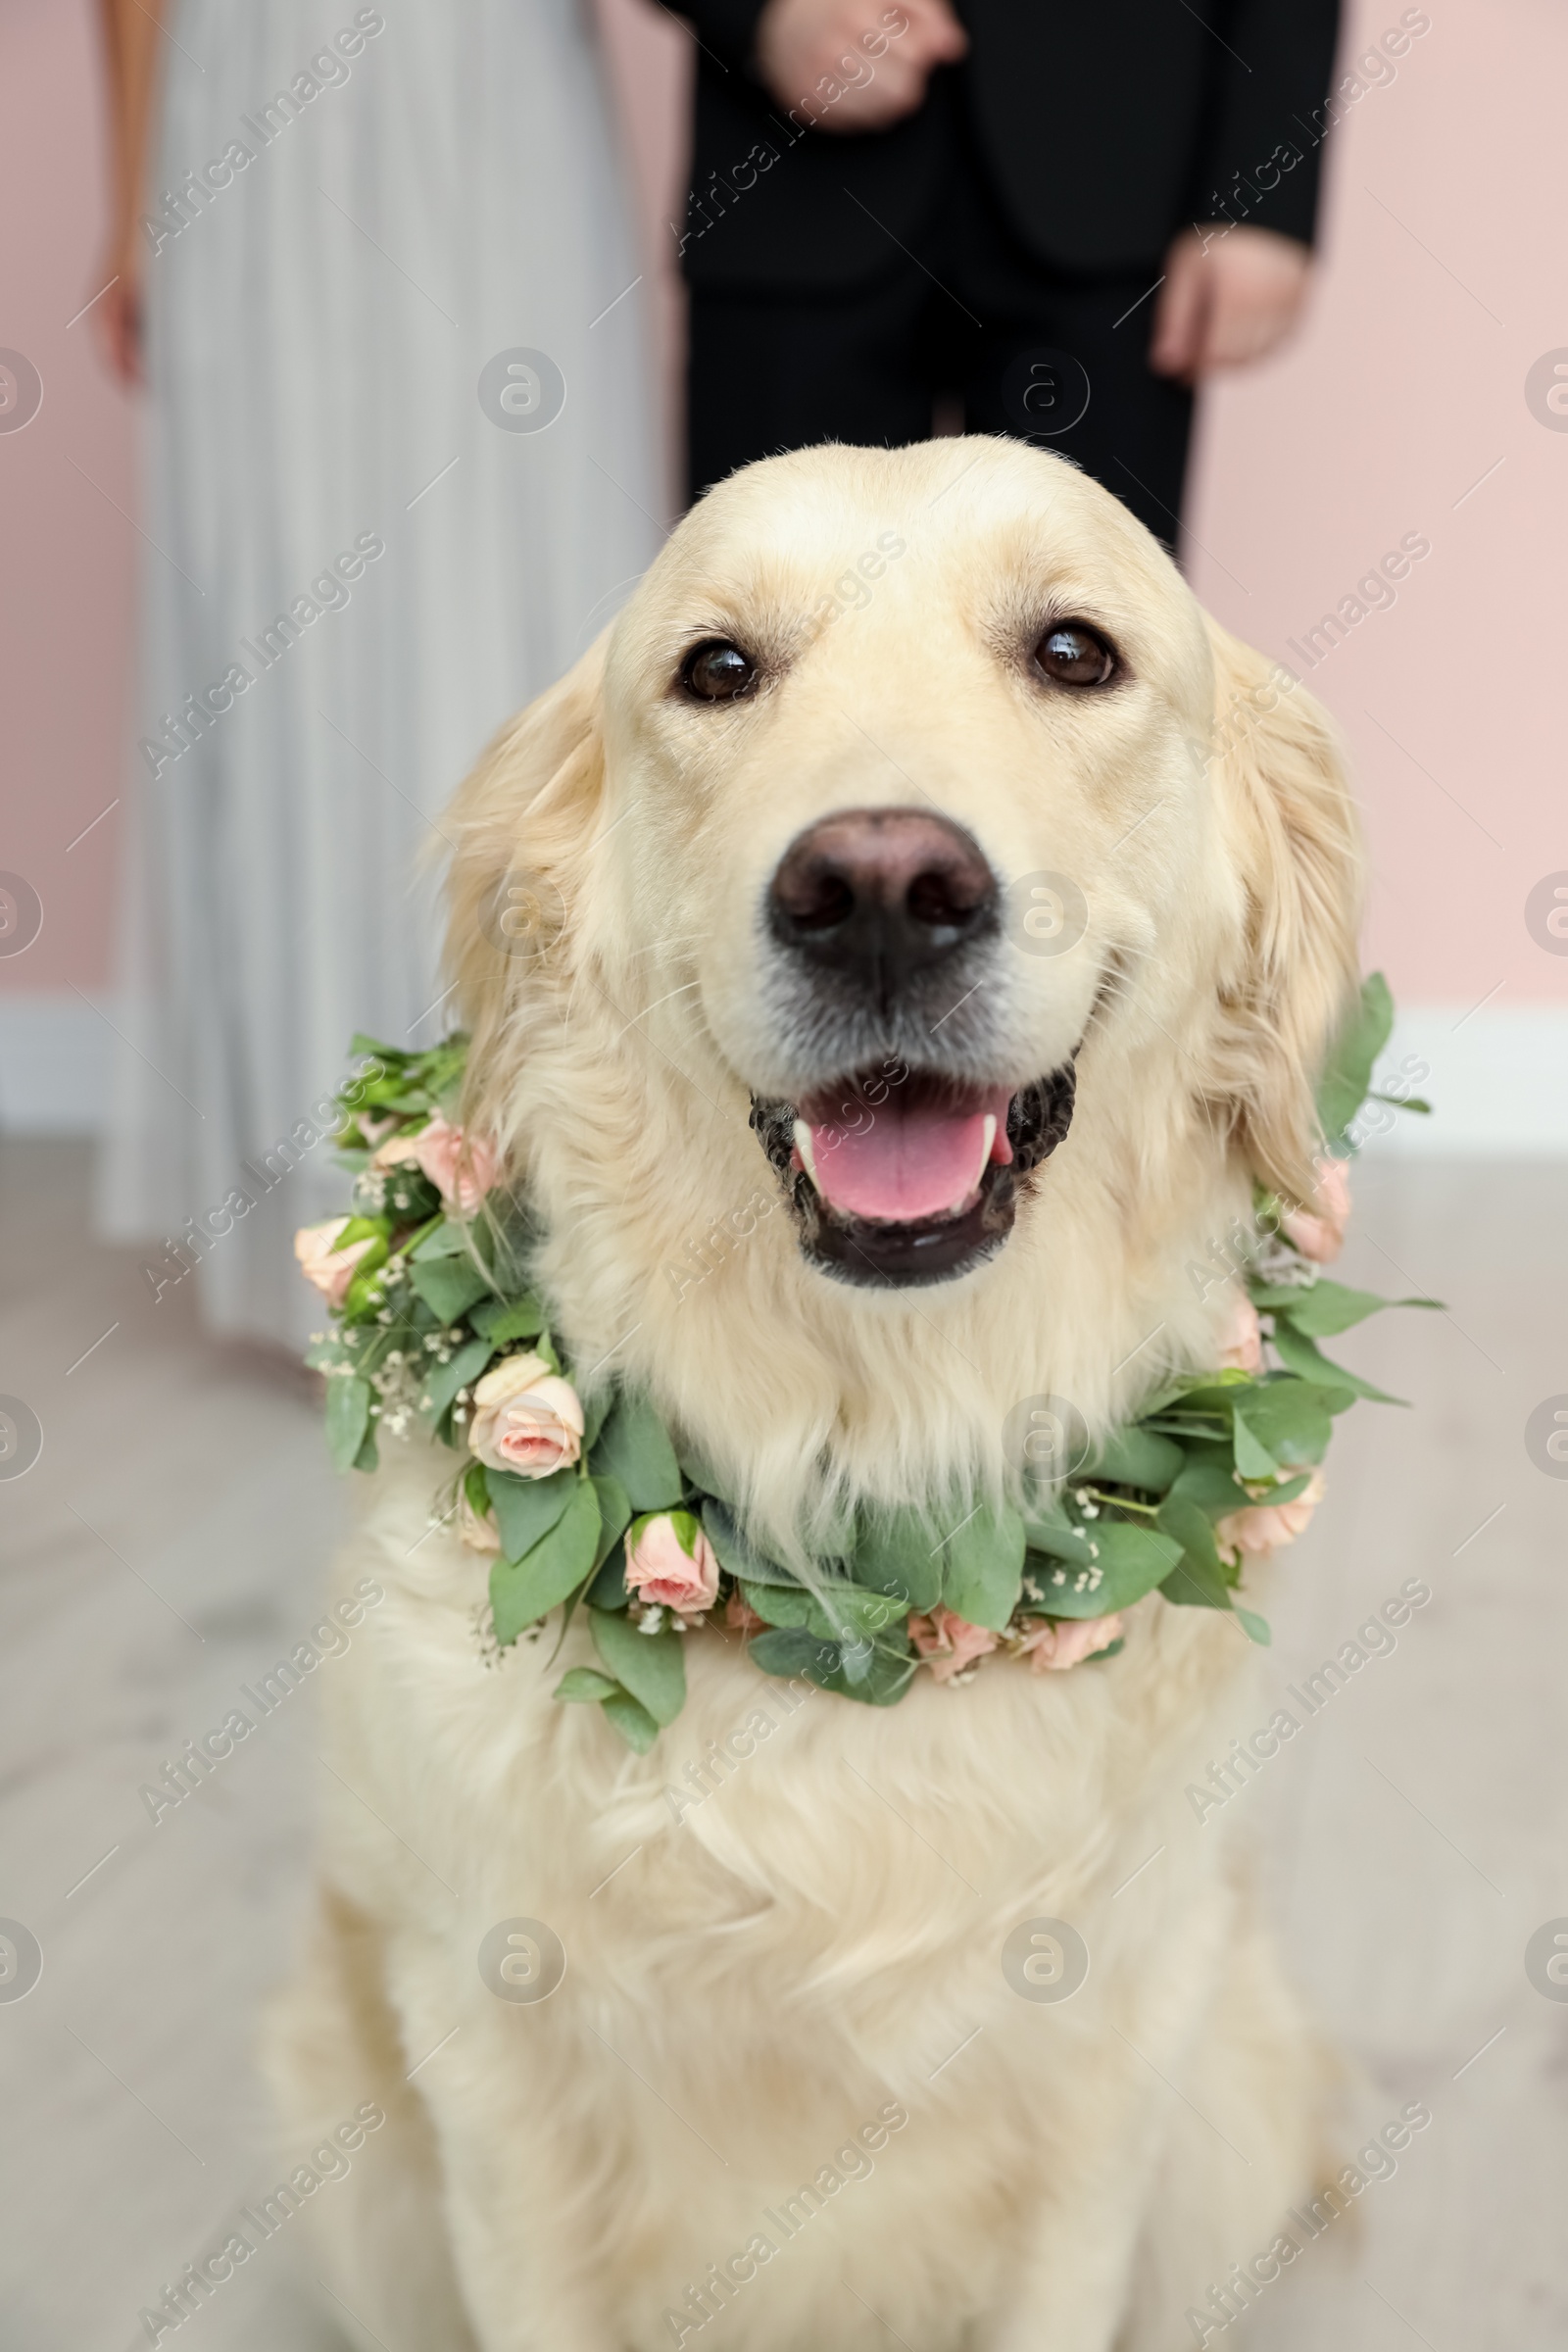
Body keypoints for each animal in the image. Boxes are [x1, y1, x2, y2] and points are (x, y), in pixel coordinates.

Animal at [267, 442, 1363, 2352]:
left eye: (1074, 651)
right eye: (716, 670)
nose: (877, 888)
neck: (860, 1502)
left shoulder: (1110, 2063)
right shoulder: (495, 2078)